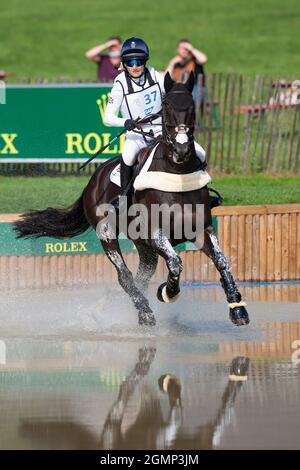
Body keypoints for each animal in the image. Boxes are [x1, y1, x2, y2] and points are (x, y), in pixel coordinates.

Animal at [13, 72, 248, 326]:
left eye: (192, 107)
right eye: (166, 106)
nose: (182, 150)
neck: (177, 173)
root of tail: (93, 179)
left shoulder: (201, 229)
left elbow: (221, 260)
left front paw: (237, 308)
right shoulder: (156, 233)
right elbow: (175, 263)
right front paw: (167, 292)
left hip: (143, 246)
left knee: (141, 275)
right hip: (107, 234)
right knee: (124, 275)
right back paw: (143, 312)